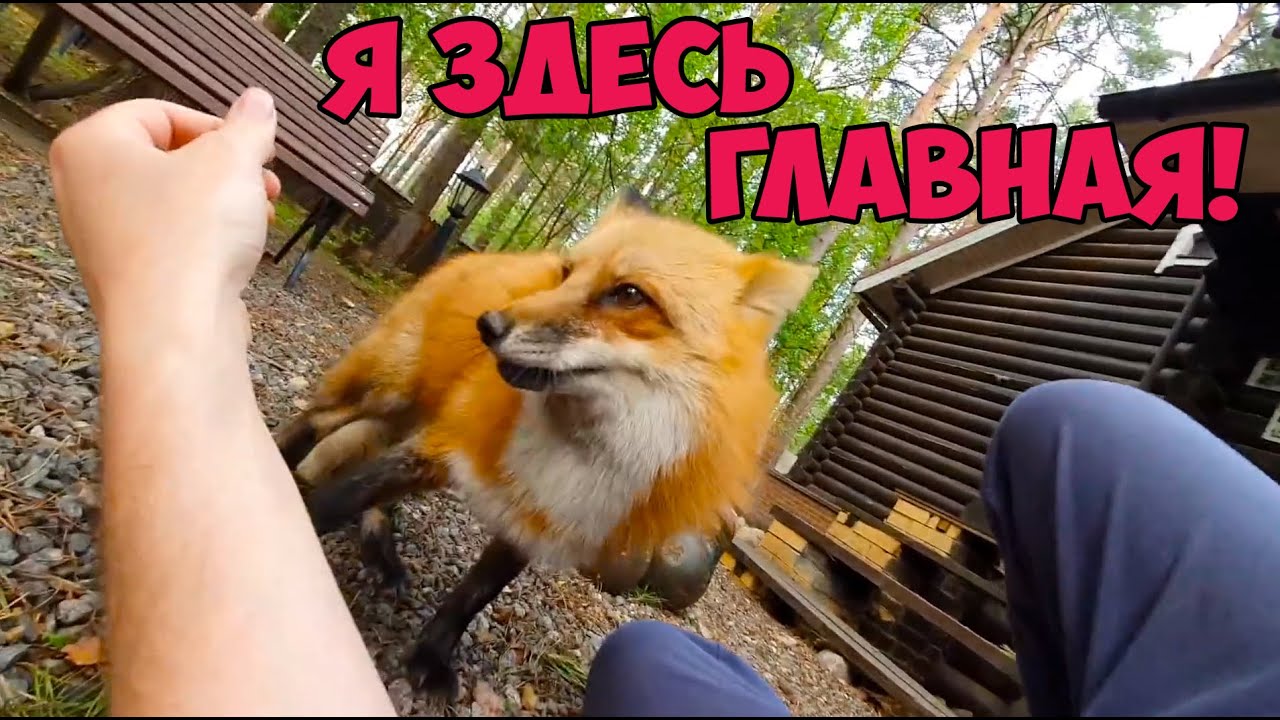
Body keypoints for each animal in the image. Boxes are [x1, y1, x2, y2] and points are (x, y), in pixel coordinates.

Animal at [277, 188, 818, 696]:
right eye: (566, 273)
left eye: (629, 294)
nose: (489, 325)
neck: (574, 451)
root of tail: (481, 256)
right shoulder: (439, 446)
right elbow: (335, 500)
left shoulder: (538, 514)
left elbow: (472, 596)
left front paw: (430, 656)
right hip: (387, 392)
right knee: (314, 423)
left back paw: (382, 551)